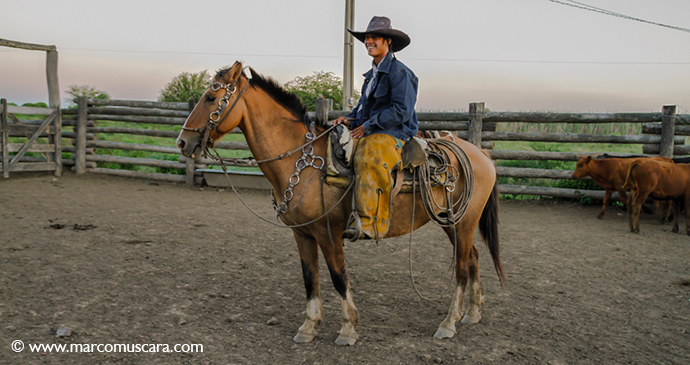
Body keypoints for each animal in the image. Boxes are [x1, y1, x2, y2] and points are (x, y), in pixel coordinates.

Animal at [175, 61, 502, 344]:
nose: (182, 142)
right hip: (451, 221)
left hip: (463, 222)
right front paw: (308, 326)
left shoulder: (329, 233)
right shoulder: (302, 234)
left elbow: (338, 277)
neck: (302, 160)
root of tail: (481, 155)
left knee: (462, 267)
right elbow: (310, 278)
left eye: (211, 97)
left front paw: (347, 329)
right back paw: (472, 313)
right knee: (473, 258)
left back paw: (448, 324)